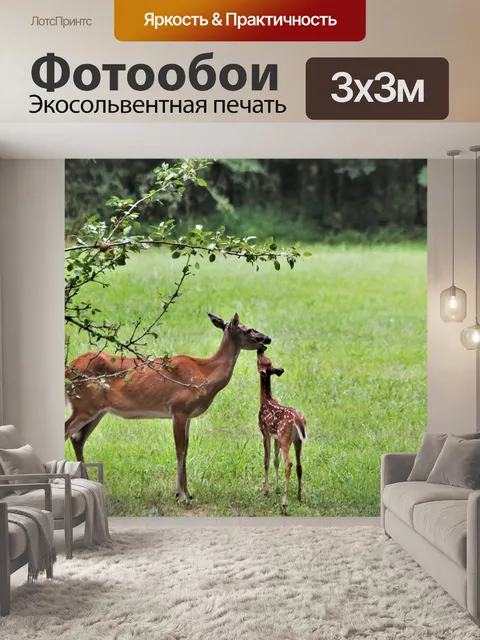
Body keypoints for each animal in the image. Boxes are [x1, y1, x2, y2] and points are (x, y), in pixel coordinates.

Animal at [65, 312, 271, 503]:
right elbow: (180, 450)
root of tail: (68, 368)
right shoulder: (179, 409)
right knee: (69, 431)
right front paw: (181, 496)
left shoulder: (188, 416)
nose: (267, 339)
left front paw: (188, 492)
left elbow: (186, 449)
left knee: (78, 438)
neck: (205, 373)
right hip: (84, 406)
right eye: (248, 329)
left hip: (97, 410)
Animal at [257, 347, 306, 514]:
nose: (260, 350)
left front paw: (266, 491)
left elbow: (266, 460)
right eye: (266, 359)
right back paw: (299, 496)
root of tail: (299, 420)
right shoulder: (276, 436)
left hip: (286, 438)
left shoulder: (265, 432)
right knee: (299, 465)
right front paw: (276, 489)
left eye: (259, 361)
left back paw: (285, 504)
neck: (266, 400)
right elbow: (275, 461)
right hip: (297, 440)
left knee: (289, 464)